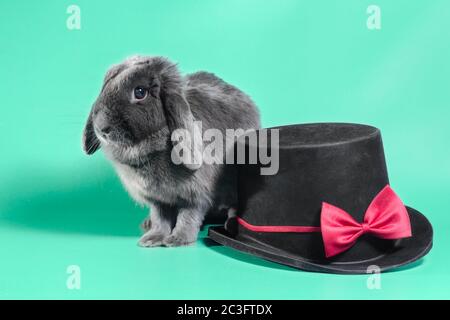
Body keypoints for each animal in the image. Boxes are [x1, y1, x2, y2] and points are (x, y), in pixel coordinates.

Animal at [81, 55, 260, 246]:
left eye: (140, 92)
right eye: (106, 85)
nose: (101, 128)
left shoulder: (195, 196)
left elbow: (188, 216)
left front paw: (178, 239)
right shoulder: (158, 200)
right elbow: (161, 218)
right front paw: (152, 238)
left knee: (234, 207)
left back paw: (230, 225)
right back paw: (147, 224)